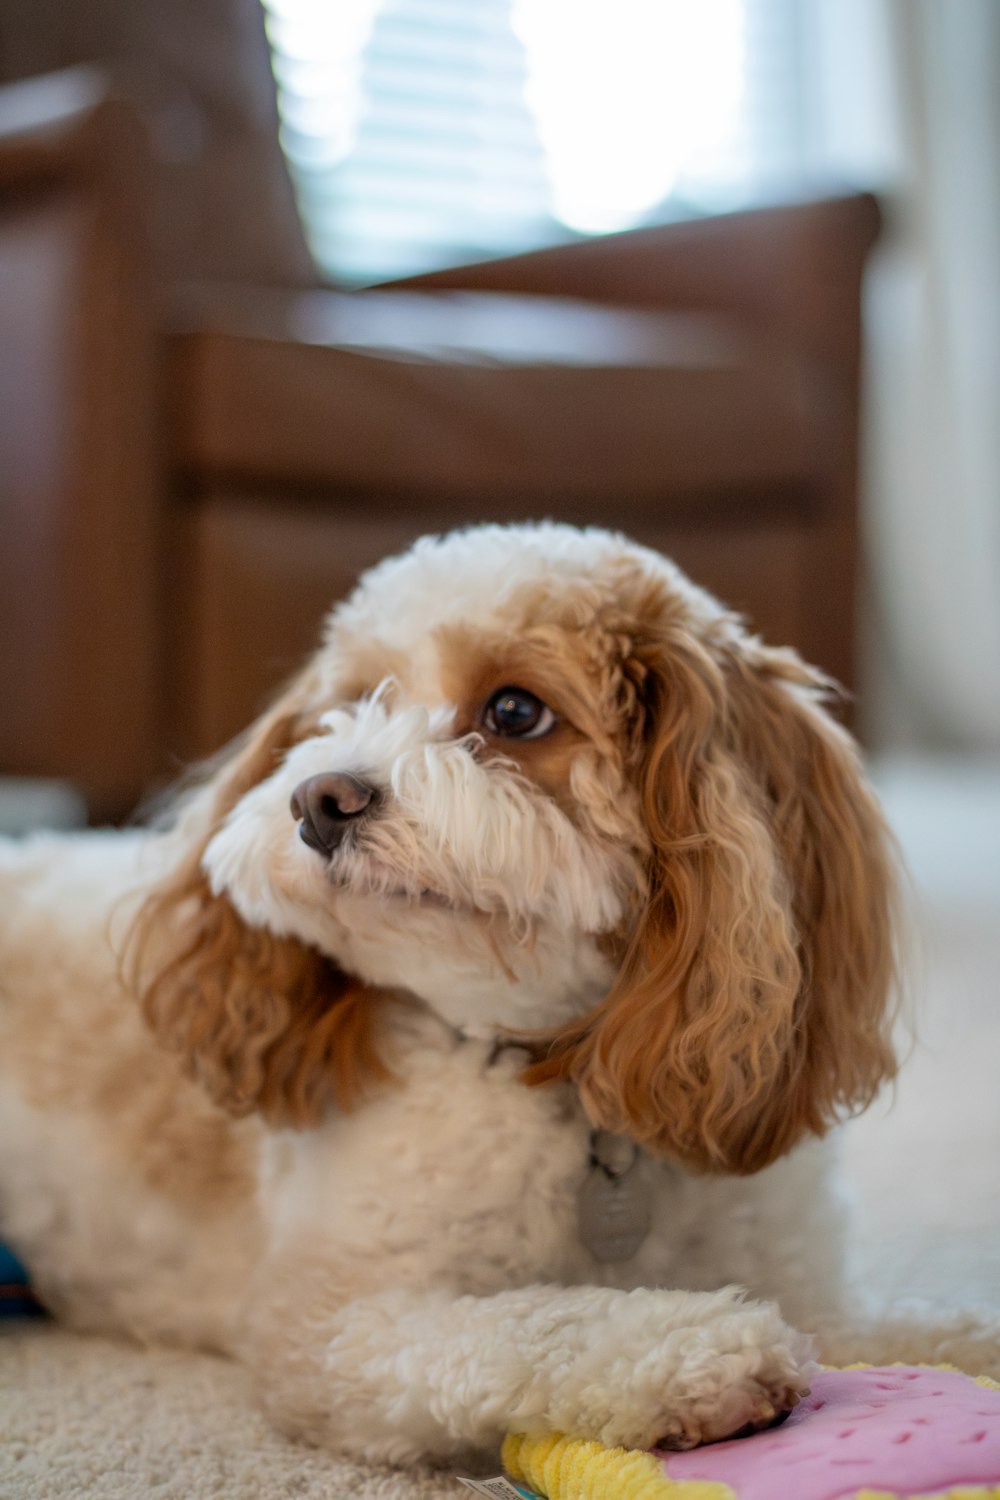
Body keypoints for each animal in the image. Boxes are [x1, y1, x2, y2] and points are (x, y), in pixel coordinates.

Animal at [0, 525, 905, 1464]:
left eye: (513, 712)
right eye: (353, 702)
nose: (319, 800)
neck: (550, 1070)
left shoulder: (810, 1279)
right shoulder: (333, 1326)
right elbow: (532, 1327)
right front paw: (702, 1350)